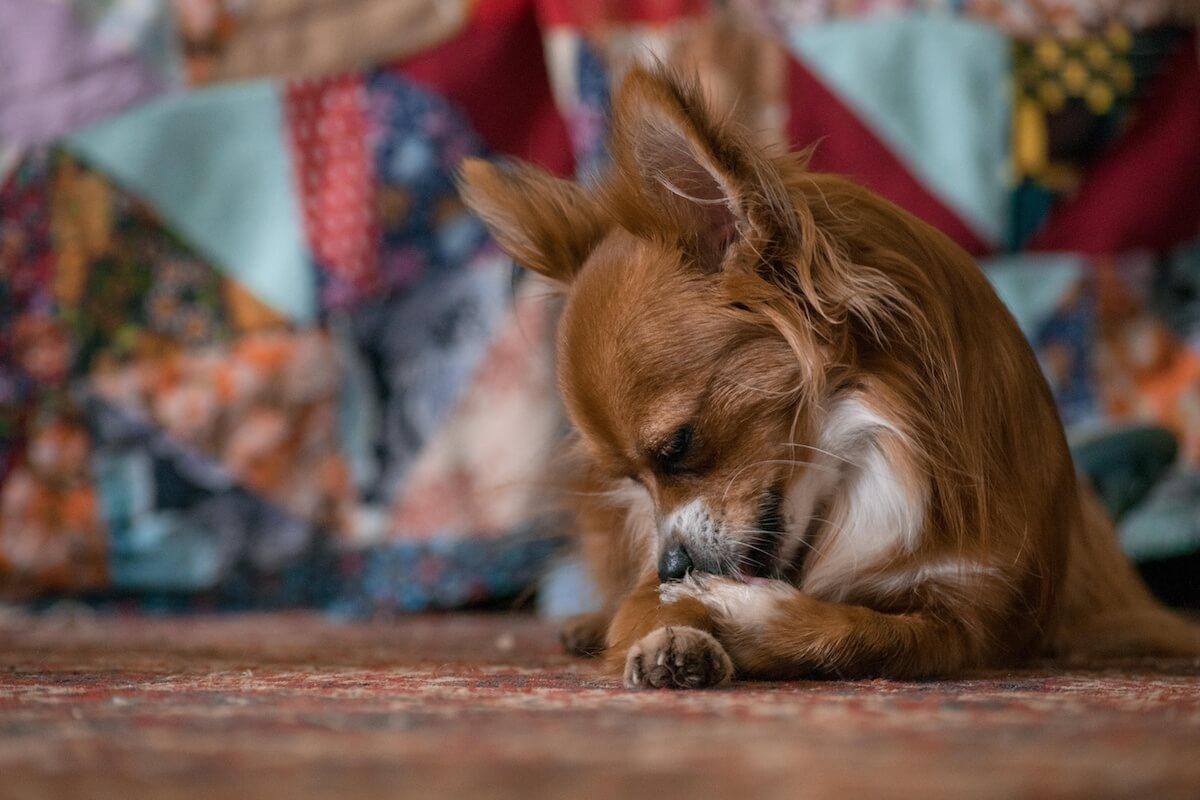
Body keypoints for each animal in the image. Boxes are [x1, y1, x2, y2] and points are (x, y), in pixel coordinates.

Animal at [456, 67, 1200, 690]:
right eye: (632, 480)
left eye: (679, 447)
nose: (670, 565)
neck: (868, 451)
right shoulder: (645, 585)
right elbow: (647, 612)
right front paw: (673, 637)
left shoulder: (971, 620)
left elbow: (858, 633)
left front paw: (744, 612)